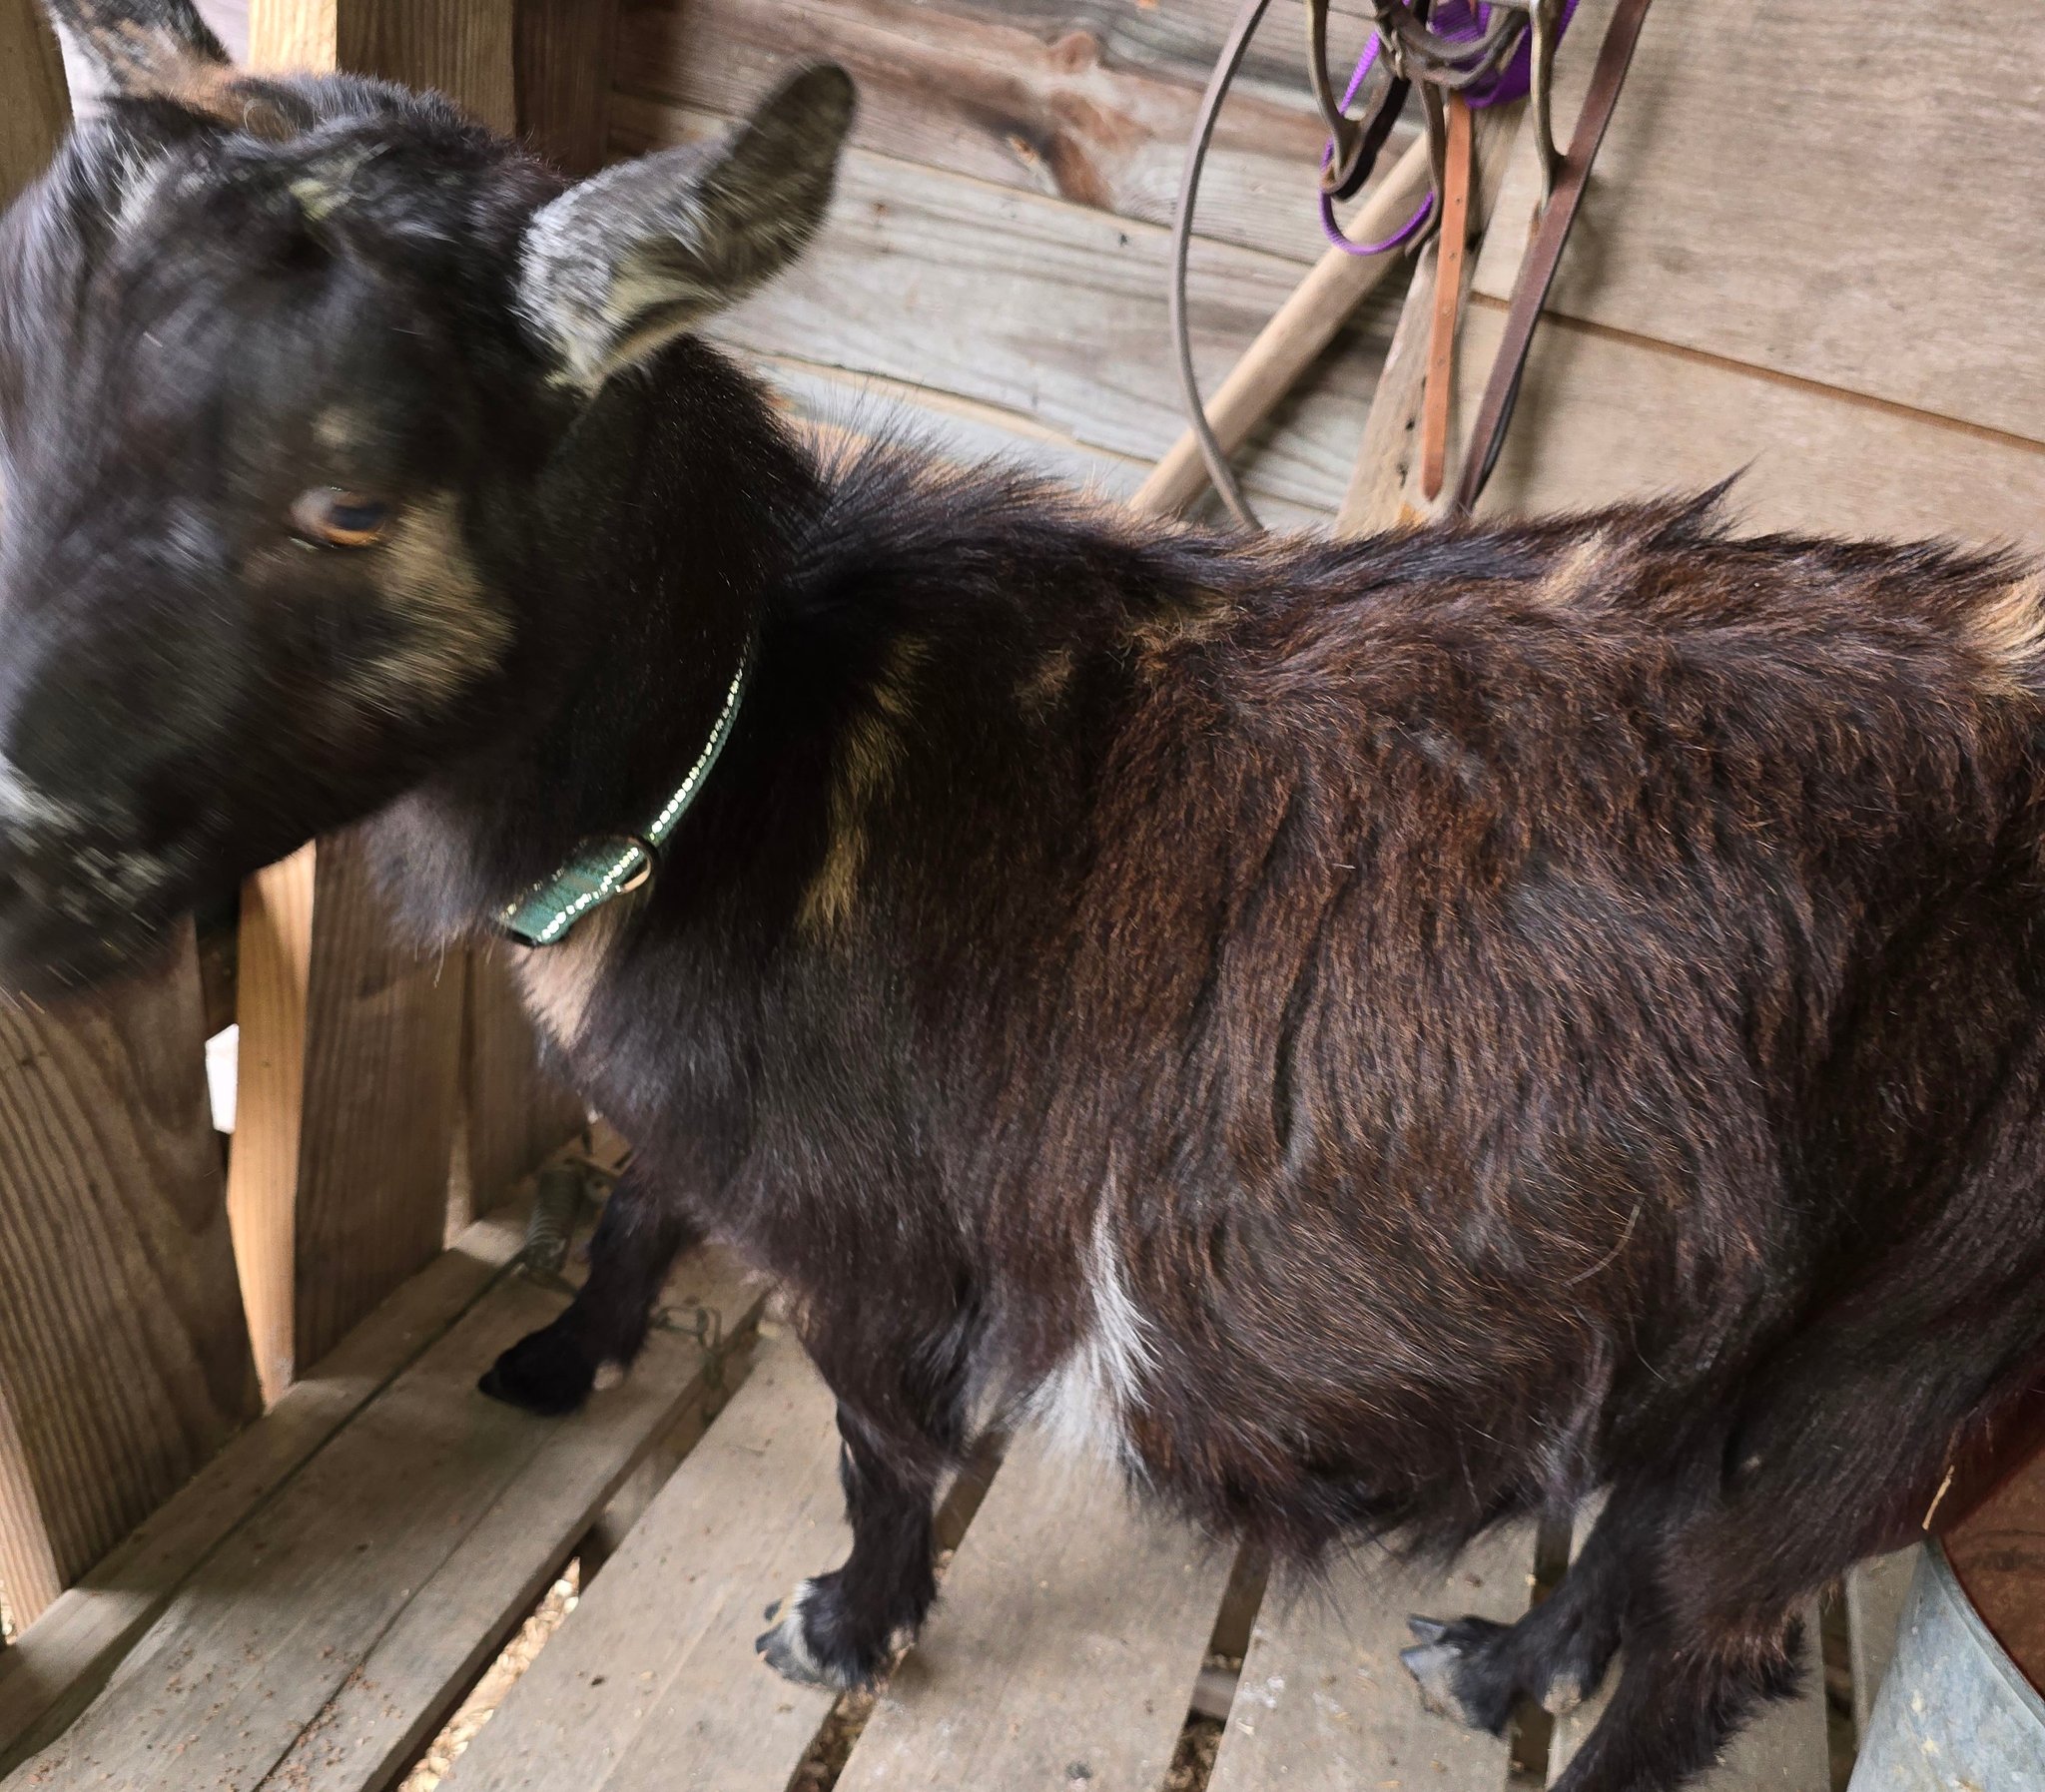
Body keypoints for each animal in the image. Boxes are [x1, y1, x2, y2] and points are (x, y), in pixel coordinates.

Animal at [5, 7, 2045, 1788]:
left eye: (348, 499)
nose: (19, 855)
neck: (747, 747)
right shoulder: (726, 1122)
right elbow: (643, 1197)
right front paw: (564, 1355)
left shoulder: (879, 1231)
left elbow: (879, 1440)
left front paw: (840, 1625)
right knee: (1651, 1511)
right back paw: (1496, 1661)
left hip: (1911, 1326)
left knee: (1719, 1622)